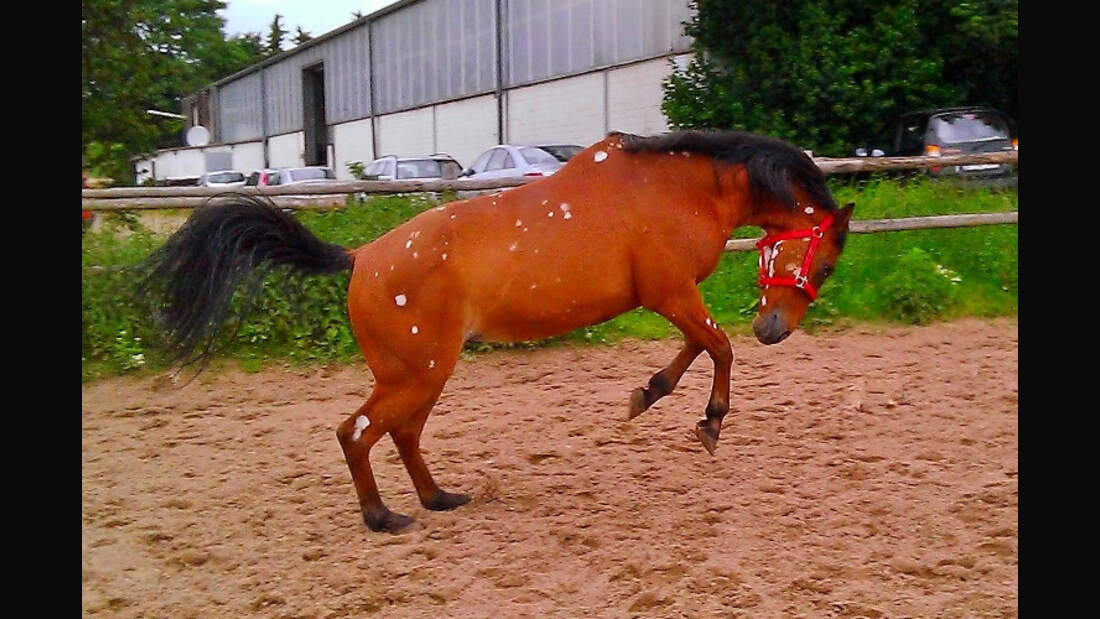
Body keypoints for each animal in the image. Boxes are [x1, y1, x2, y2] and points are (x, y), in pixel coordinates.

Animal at [137, 130, 853, 532]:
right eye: (824, 261)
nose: (774, 330)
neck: (680, 188)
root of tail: (360, 258)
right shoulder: (670, 291)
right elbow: (718, 347)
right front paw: (709, 424)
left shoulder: (671, 297)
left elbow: (696, 347)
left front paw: (647, 394)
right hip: (415, 372)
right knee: (358, 431)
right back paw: (382, 517)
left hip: (424, 374)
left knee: (401, 434)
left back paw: (438, 499)